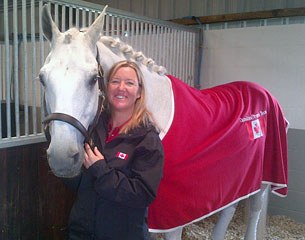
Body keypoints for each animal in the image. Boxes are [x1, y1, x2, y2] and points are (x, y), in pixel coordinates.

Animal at [39, 5, 286, 240]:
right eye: (42, 78)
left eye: (93, 78)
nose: (62, 157)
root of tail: (265, 94)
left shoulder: (173, 219)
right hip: (236, 178)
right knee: (230, 207)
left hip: (263, 179)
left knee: (255, 208)